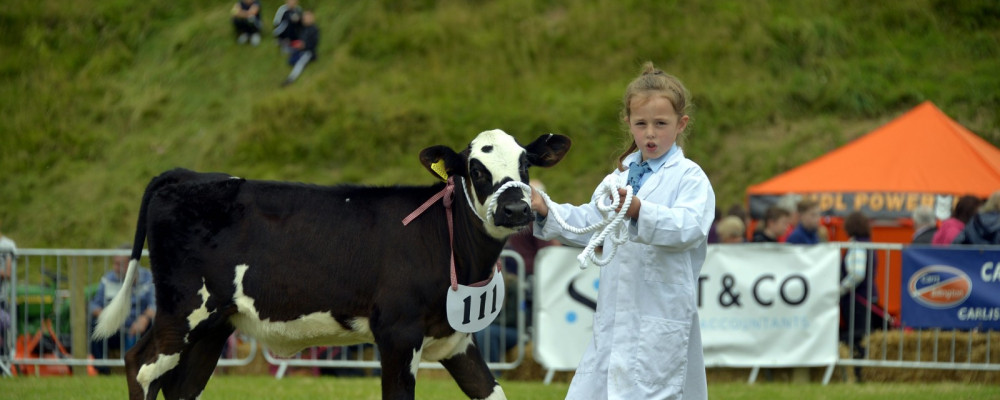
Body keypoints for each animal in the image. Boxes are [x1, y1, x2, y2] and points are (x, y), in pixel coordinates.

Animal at [97, 130, 576, 398]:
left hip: (213, 327)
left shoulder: (457, 341)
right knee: (139, 365)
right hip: (184, 310)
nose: (517, 209)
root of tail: (188, 175)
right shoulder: (398, 333)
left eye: (525, 165)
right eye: (476, 170)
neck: (447, 241)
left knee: (178, 388)